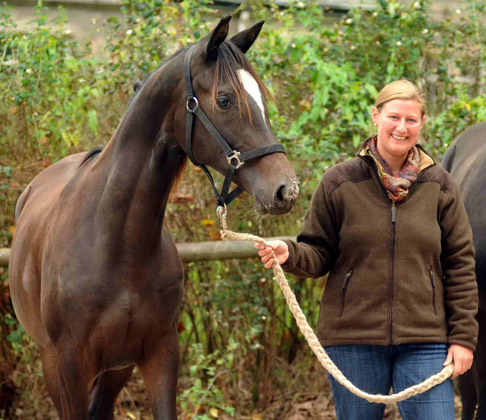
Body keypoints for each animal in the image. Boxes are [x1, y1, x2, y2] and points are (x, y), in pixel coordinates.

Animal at [9, 18, 298, 420]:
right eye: (224, 100)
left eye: (262, 100)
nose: (286, 190)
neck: (117, 244)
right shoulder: (70, 366)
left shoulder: (160, 354)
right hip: (53, 364)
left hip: (116, 369)